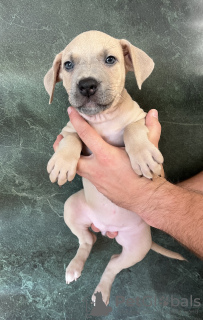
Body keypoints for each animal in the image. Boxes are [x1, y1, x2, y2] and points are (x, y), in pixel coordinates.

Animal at [44, 30, 186, 304]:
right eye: (68, 65)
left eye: (110, 59)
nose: (86, 85)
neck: (103, 119)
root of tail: (106, 229)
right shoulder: (70, 127)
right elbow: (72, 137)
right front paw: (62, 162)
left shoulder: (142, 122)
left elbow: (132, 128)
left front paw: (143, 156)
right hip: (72, 208)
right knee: (87, 240)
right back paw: (75, 267)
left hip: (136, 246)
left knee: (112, 262)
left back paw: (102, 290)